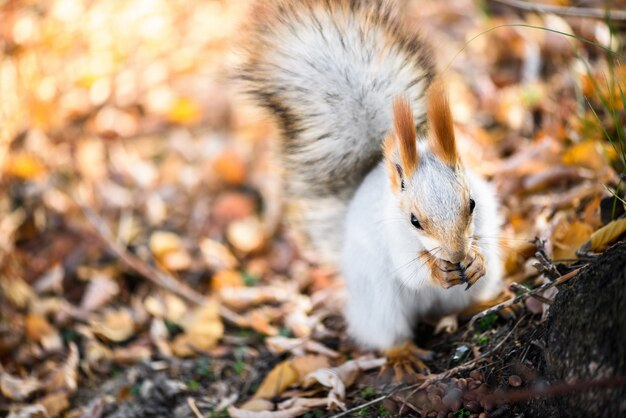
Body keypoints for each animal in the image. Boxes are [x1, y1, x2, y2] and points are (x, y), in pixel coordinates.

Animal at [235, 0, 502, 358]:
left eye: (471, 204)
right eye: (414, 221)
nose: (457, 255)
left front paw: (476, 259)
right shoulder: (392, 237)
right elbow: (410, 269)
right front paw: (435, 268)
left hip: (469, 291)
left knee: (458, 306)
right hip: (378, 303)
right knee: (388, 332)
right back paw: (402, 354)